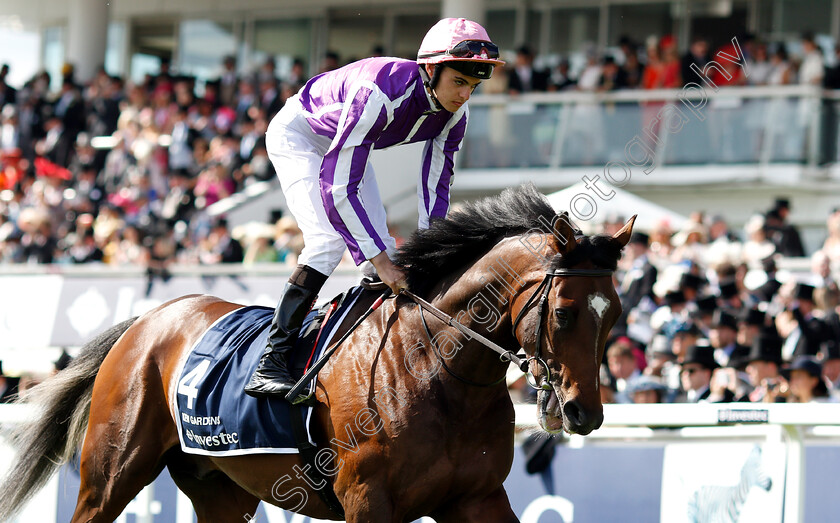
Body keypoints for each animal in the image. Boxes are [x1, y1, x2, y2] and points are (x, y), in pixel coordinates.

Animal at [0, 186, 632, 520]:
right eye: (564, 311)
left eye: (617, 314)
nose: (584, 412)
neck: (438, 372)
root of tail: (149, 319)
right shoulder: (368, 501)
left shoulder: (477, 496)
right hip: (111, 475)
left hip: (219, 487)